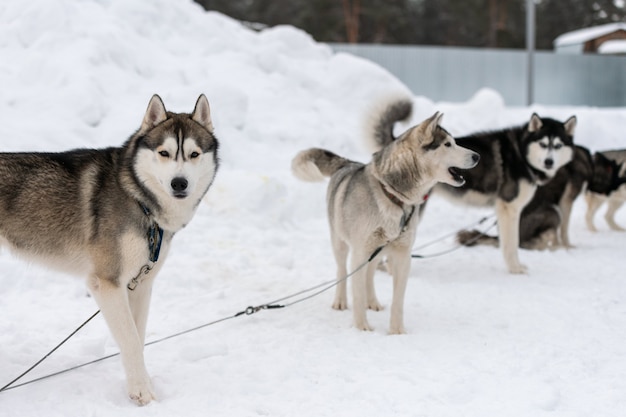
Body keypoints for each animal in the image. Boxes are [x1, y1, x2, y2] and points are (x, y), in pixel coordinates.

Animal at [0, 95, 218, 404]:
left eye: (194, 154)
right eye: (164, 153)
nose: (179, 183)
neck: (140, 200)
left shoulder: (141, 284)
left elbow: (137, 339)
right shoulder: (108, 284)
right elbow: (130, 339)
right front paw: (142, 392)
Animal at [292, 99, 478, 334]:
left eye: (453, 142)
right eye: (447, 144)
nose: (477, 156)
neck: (394, 196)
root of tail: (347, 163)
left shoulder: (402, 256)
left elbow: (397, 300)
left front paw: (397, 332)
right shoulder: (360, 252)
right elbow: (357, 291)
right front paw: (361, 327)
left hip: (378, 250)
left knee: (370, 274)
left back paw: (372, 302)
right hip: (341, 244)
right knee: (342, 271)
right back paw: (341, 301)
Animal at [432, 112, 572, 272]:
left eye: (558, 146)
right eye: (543, 144)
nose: (549, 162)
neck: (521, 155)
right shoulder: (509, 207)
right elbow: (511, 243)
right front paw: (515, 269)